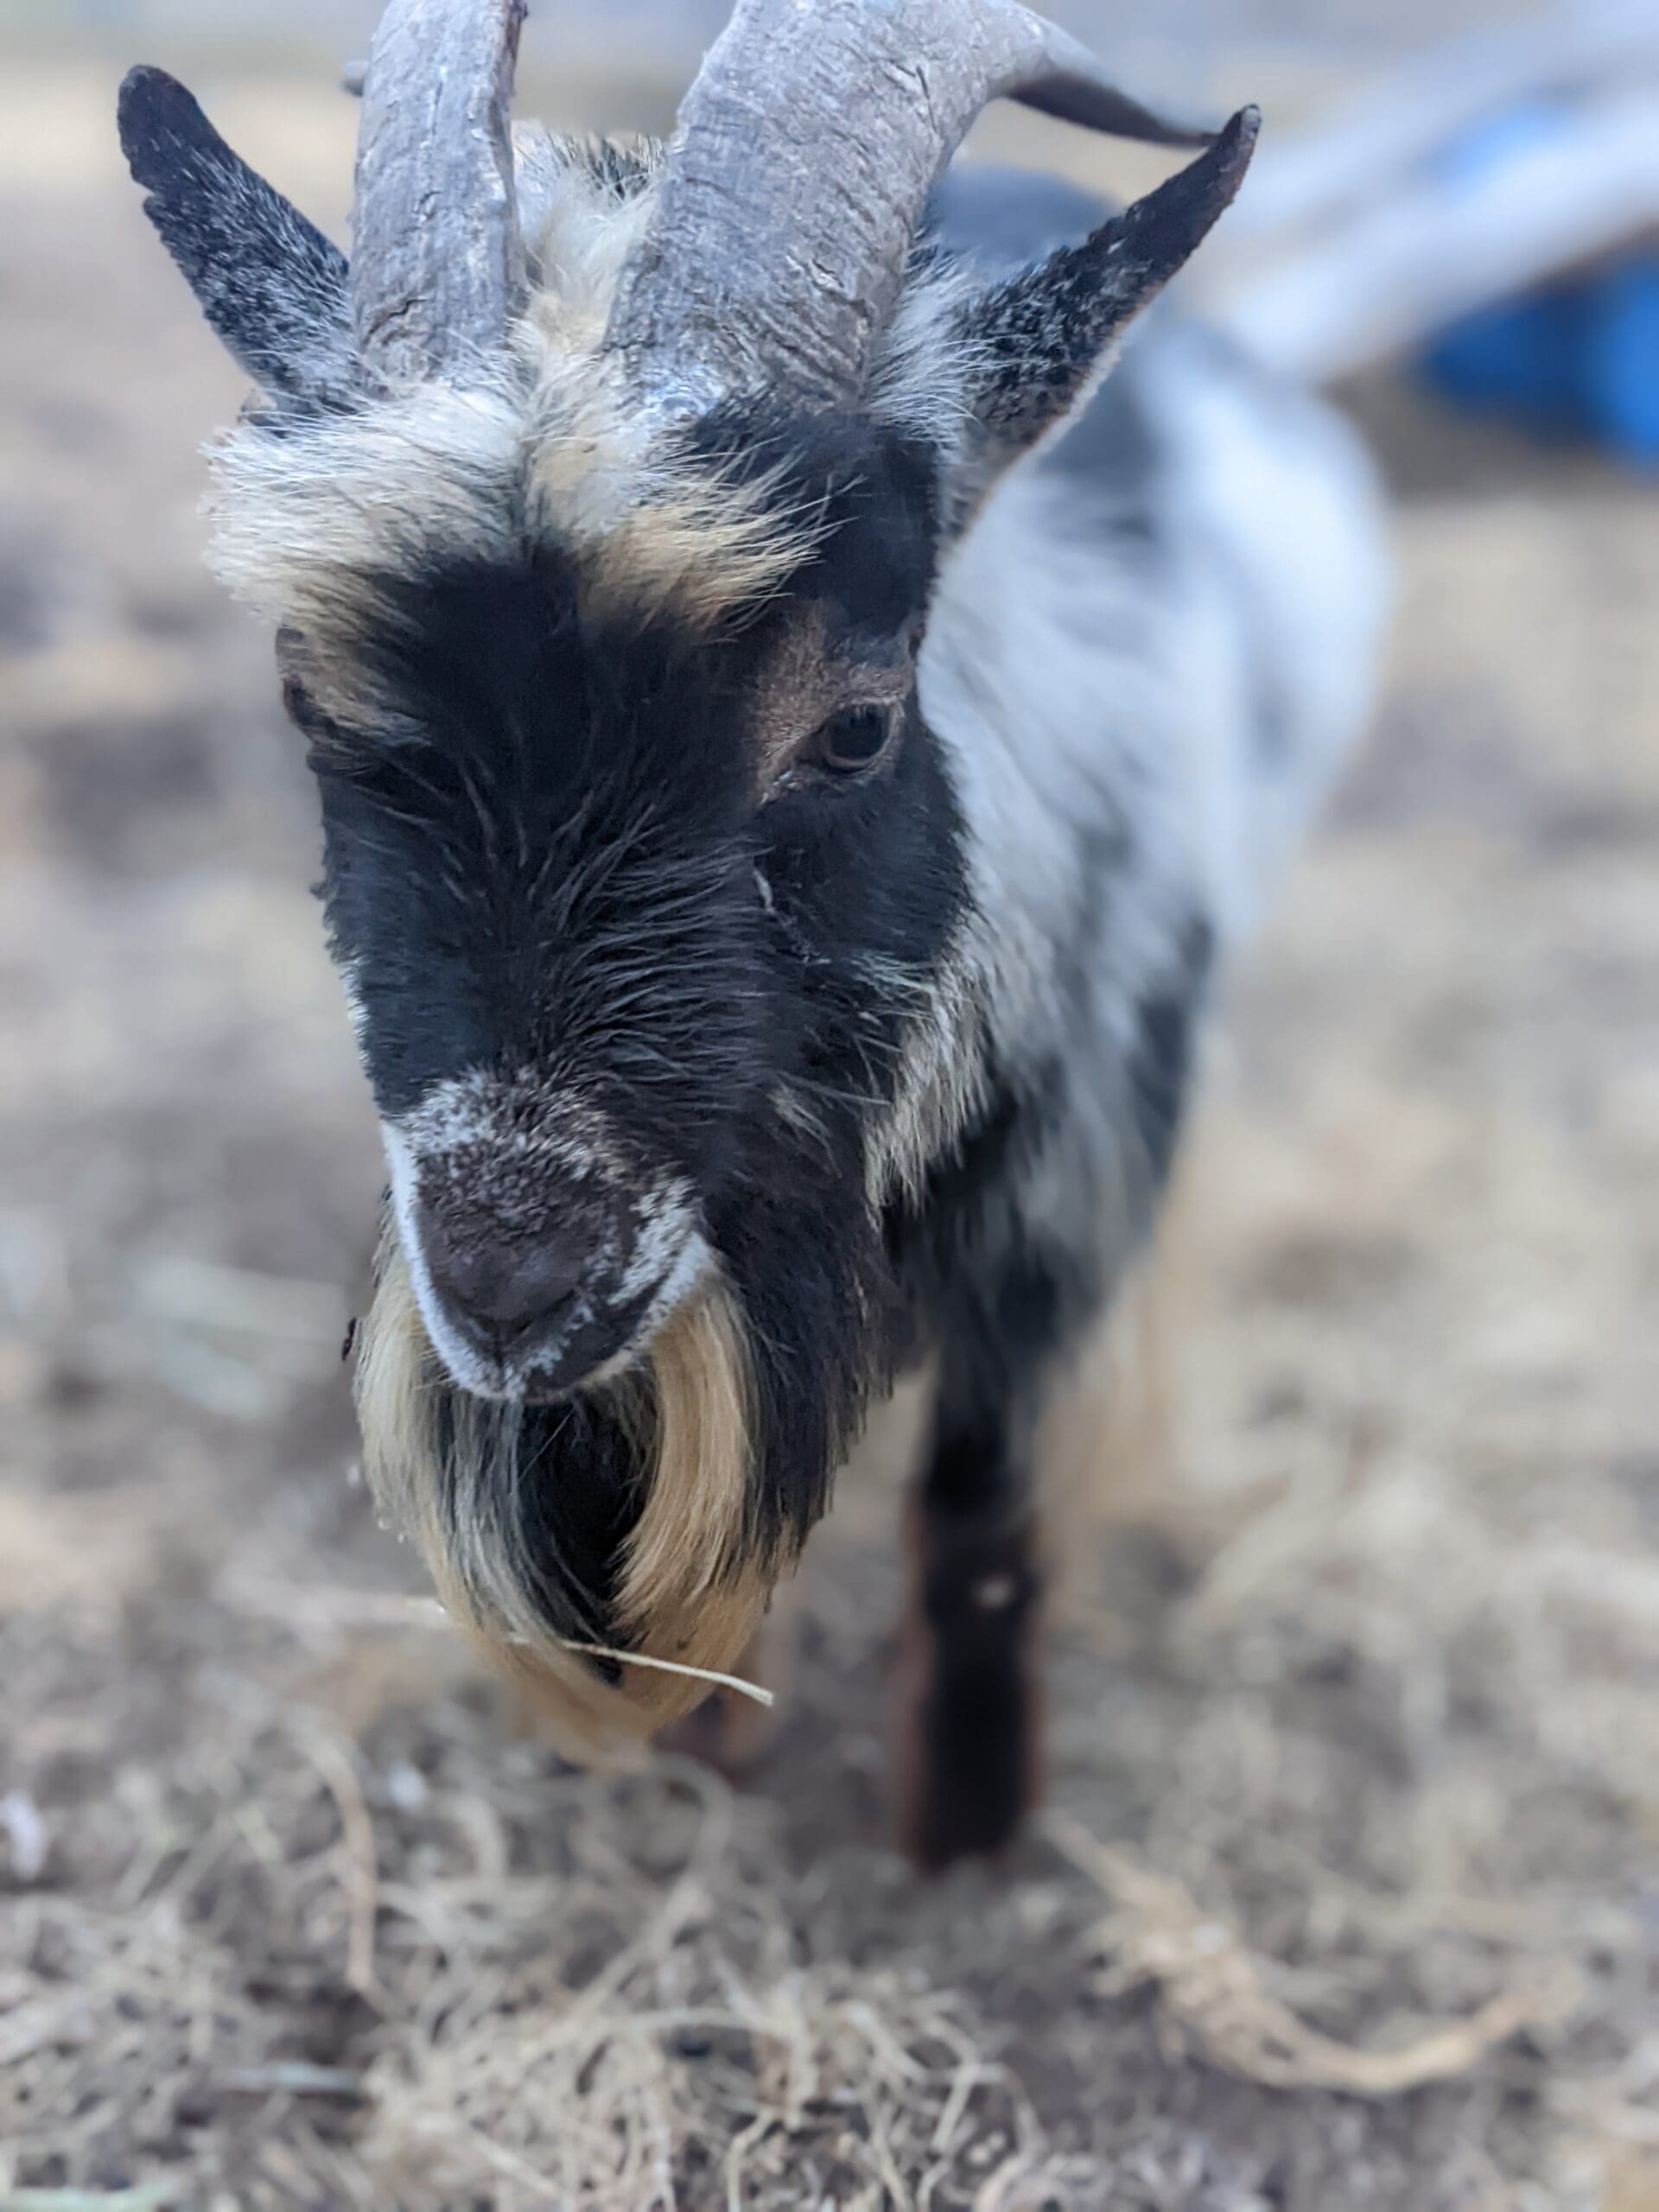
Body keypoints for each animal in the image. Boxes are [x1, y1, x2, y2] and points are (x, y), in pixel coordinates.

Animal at [119, 0, 1389, 1866]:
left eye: (856, 724)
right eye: (305, 695)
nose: (511, 1285)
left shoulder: (1077, 1197)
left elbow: (981, 1524)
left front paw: (964, 1840)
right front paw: (705, 1775)